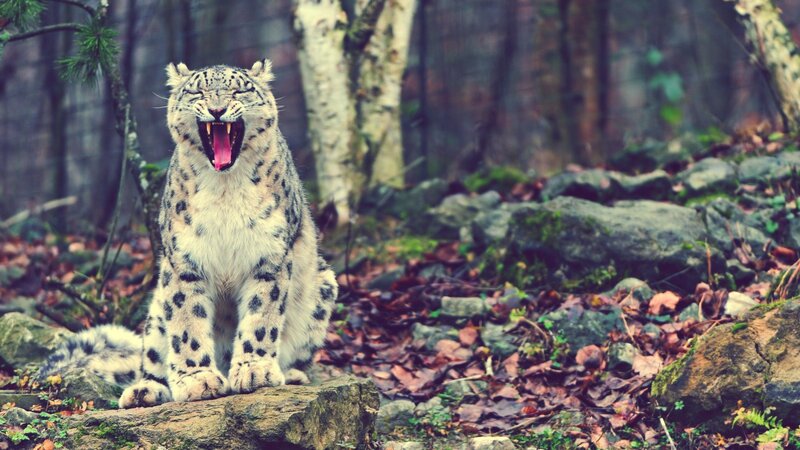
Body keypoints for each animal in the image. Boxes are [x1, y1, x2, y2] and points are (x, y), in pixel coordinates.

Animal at [38, 59, 338, 408]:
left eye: (239, 90)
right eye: (197, 91)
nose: (217, 109)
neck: (225, 188)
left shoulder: (269, 256)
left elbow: (261, 316)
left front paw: (254, 371)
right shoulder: (185, 260)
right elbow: (187, 322)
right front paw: (198, 380)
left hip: (323, 286)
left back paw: (290, 374)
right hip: (157, 309)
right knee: (152, 357)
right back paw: (145, 390)